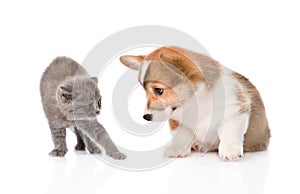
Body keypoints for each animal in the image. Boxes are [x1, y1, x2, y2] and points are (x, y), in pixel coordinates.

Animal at [119, 46, 270, 161]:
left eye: (158, 90)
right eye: (145, 91)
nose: (146, 117)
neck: (194, 104)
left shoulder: (235, 110)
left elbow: (229, 131)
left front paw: (229, 151)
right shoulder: (177, 122)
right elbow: (182, 135)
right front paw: (178, 149)